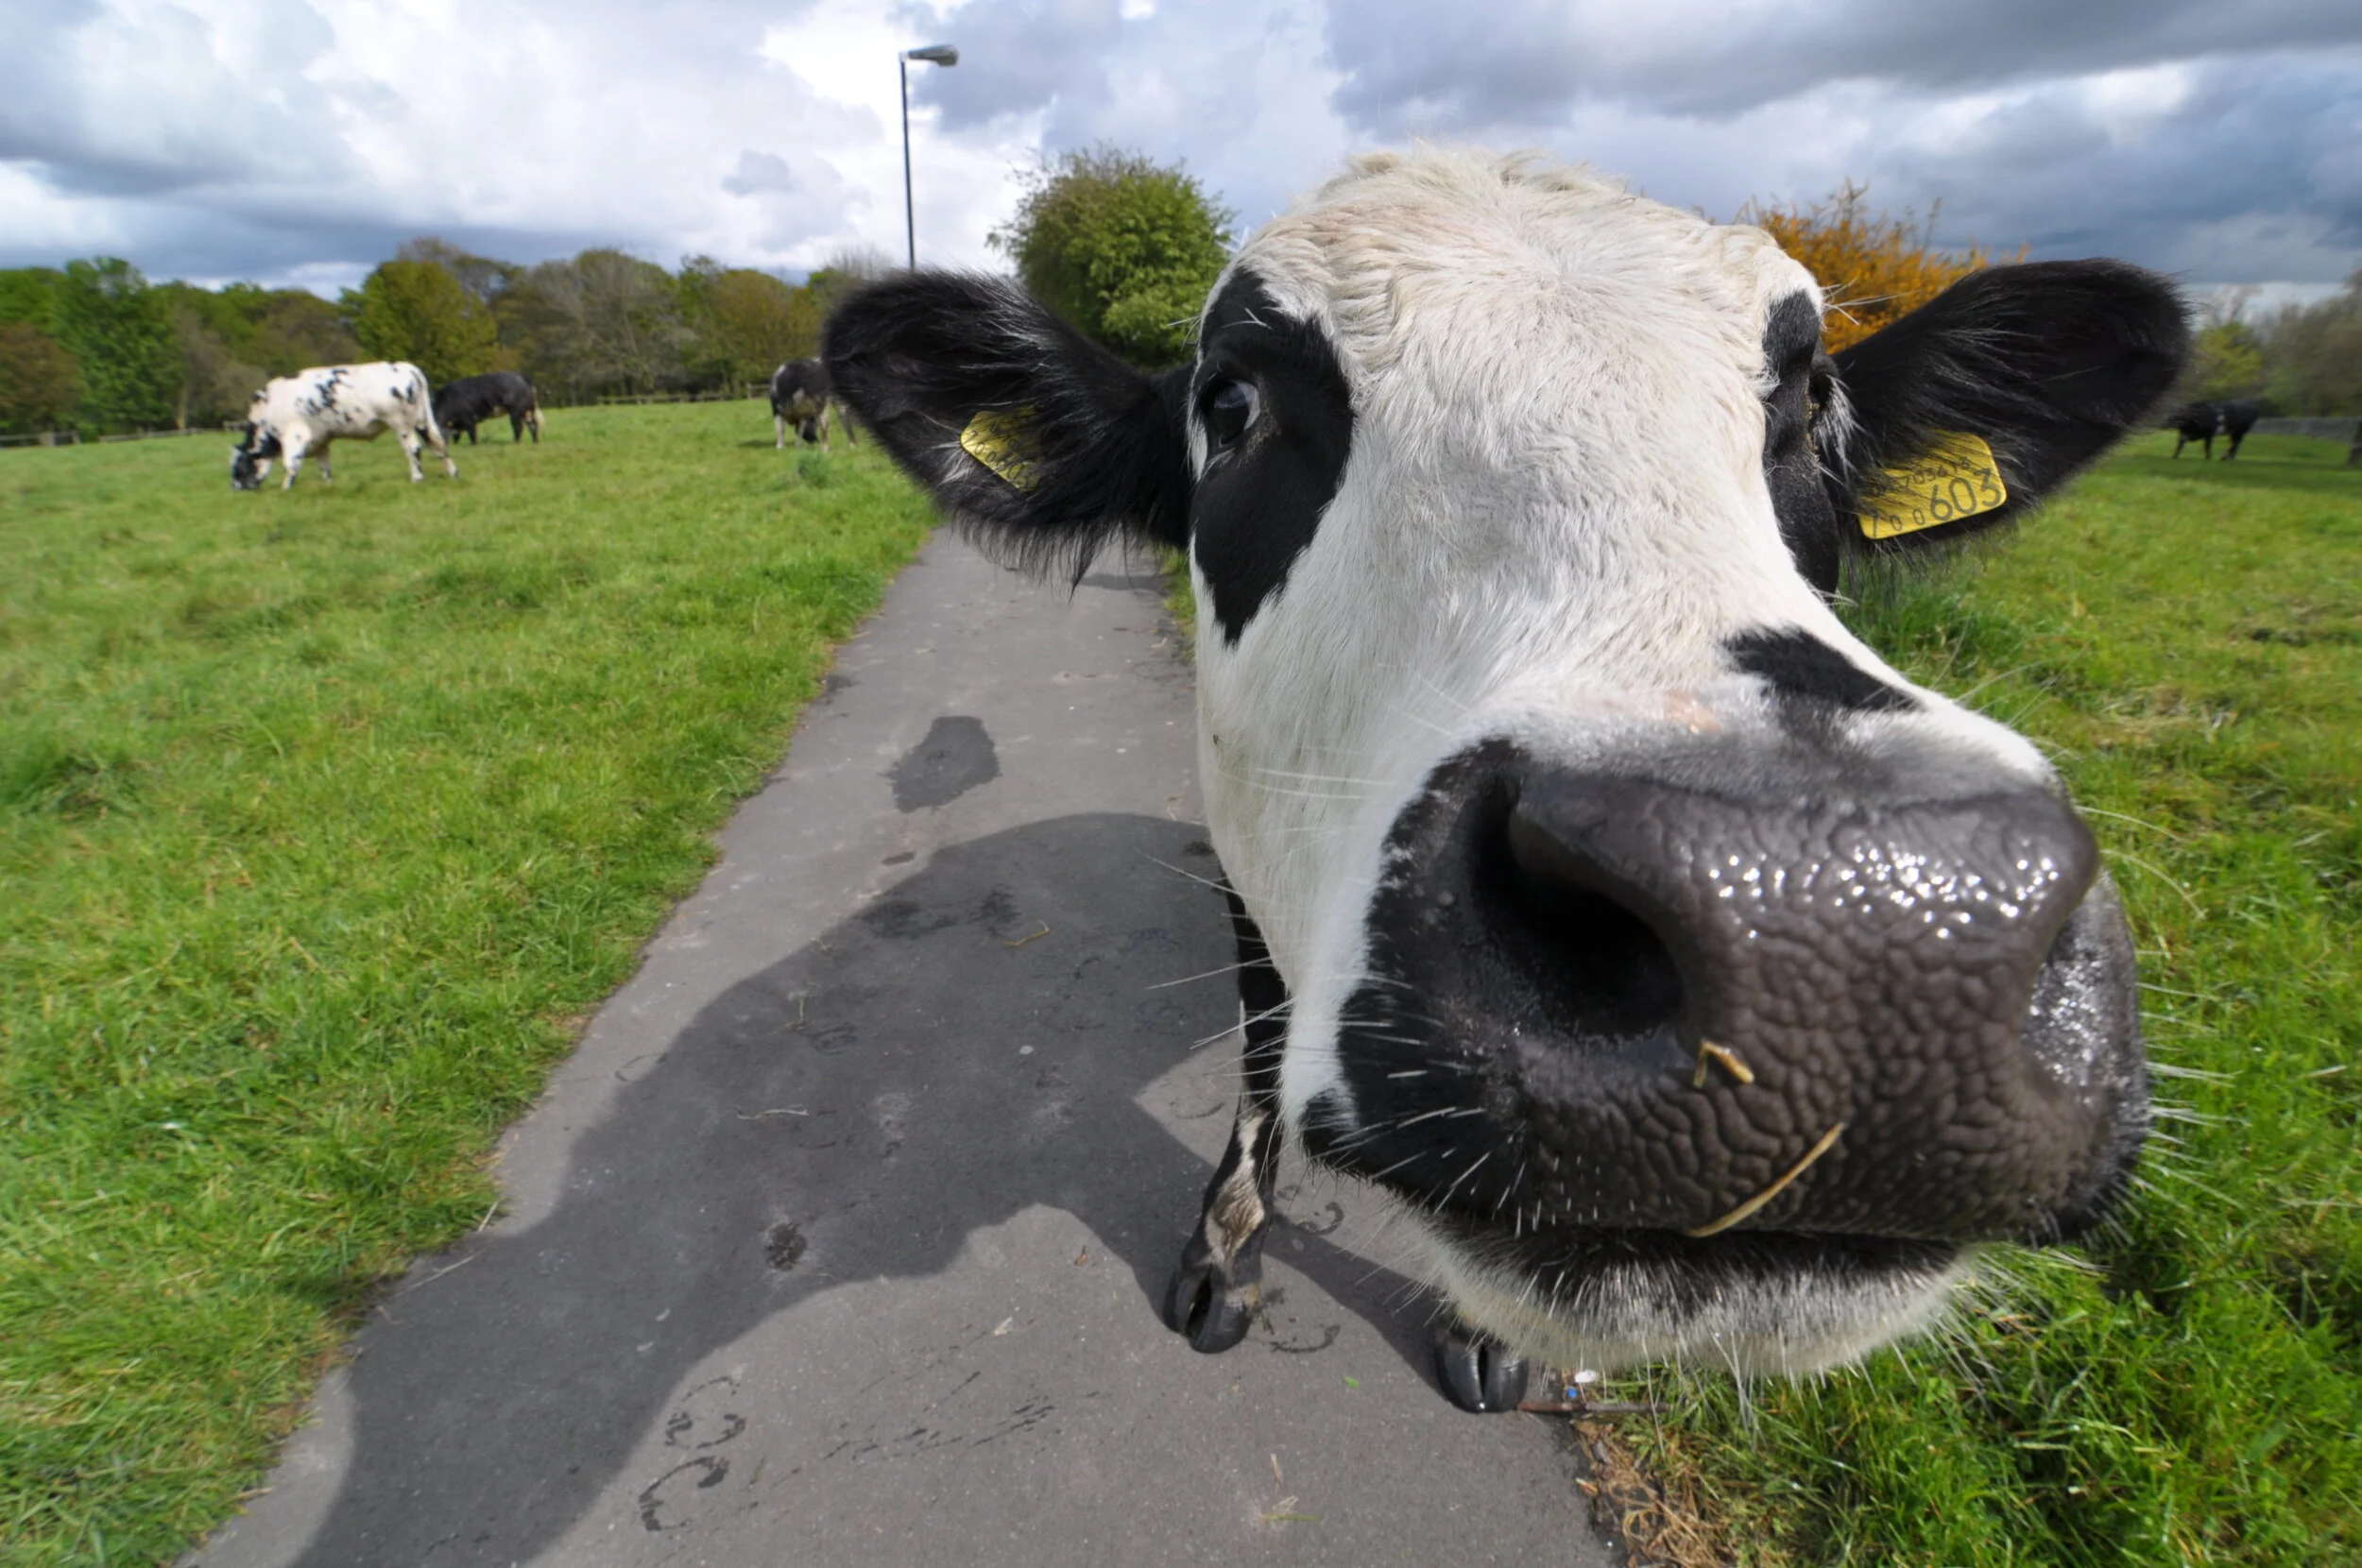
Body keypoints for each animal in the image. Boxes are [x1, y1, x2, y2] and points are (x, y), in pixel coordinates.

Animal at [231, 362, 456, 491]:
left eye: (238, 468)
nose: (235, 489)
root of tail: (407, 367)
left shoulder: (294, 436)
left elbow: (291, 464)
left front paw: (285, 489)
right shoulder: (320, 440)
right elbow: (324, 466)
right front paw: (328, 486)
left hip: (402, 425)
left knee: (414, 450)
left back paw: (417, 478)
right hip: (421, 421)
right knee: (438, 445)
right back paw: (452, 473)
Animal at [824, 150, 2185, 1412]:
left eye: (1814, 408)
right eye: (1233, 399)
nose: (1846, 942)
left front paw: (1481, 1334)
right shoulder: (1250, 876)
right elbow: (1262, 1054)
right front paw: (1227, 1250)